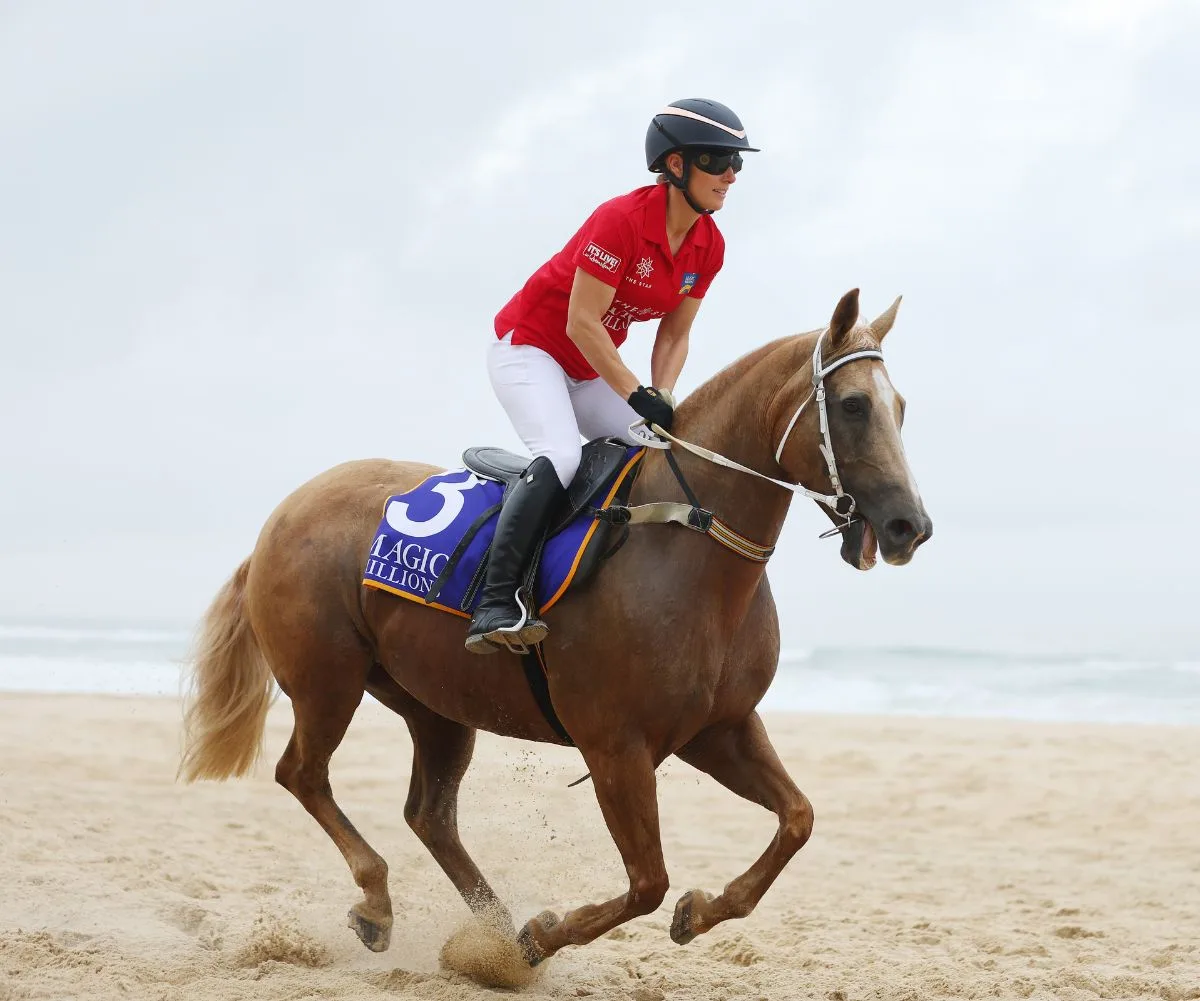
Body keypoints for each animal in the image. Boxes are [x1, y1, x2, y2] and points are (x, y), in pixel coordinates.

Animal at [178, 287, 932, 967]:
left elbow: (797, 820)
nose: (909, 526)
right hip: (327, 681)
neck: (682, 539)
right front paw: (541, 936)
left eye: (900, 407)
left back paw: (487, 930)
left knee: (429, 814)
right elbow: (647, 881)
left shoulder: (719, 728)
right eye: (854, 404)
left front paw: (697, 910)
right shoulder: (616, 748)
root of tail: (283, 514)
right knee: (303, 774)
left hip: (434, 704)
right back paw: (383, 903)